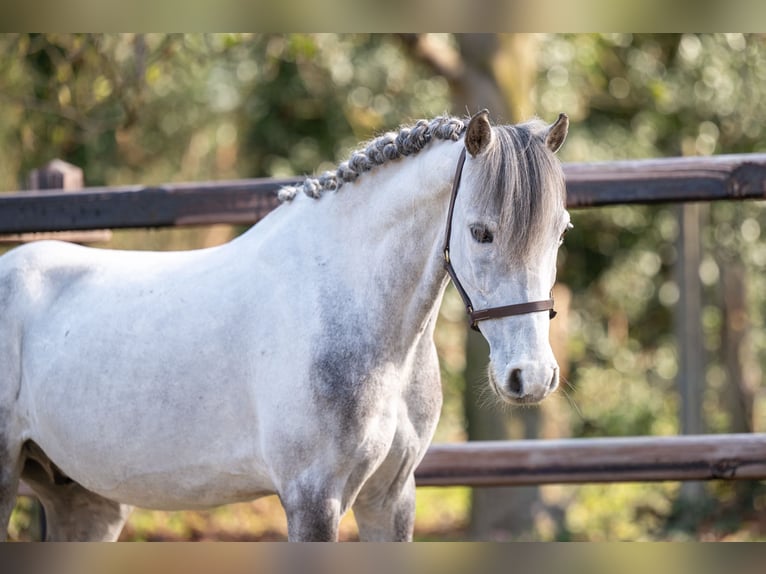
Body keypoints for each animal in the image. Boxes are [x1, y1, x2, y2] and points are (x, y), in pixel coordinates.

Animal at [0, 110, 570, 541]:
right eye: (480, 232)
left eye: (560, 231)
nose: (530, 377)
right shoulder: (312, 499)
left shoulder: (391, 497)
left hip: (83, 500)